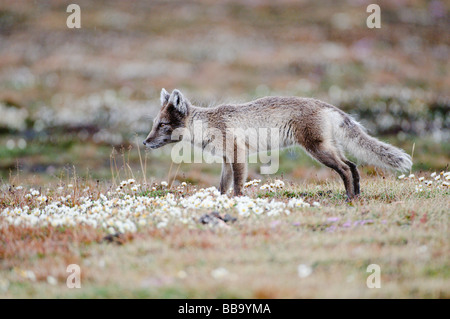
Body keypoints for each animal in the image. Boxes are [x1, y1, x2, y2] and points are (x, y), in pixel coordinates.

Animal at [143, 89, 412, 200]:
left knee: (345, 169)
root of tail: (325, 105)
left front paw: (238, 203)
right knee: (353, 166)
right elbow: (222, 186)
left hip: (318, 150)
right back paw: (356, 196)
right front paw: (219, 201)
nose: (145, 142)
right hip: (329, 147)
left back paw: (348, 199)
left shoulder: (238, 155)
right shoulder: (226, 161)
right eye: (154, 123)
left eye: (163, 125)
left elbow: (237, 186)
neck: (208, 123)